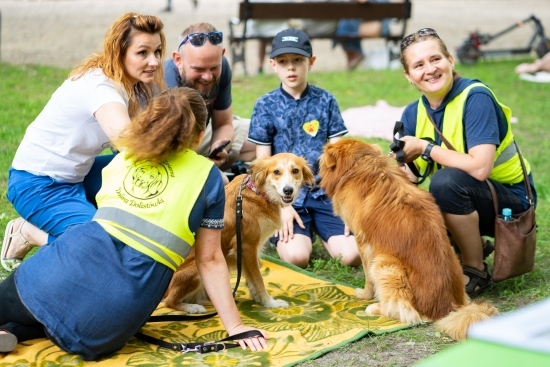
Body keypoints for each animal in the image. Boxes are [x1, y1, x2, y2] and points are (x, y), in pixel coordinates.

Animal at [163, 152, 314, 314]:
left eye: (295, 170)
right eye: (276, 172)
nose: (288, 190)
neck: (258, 192)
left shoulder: (247, 252)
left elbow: (251, 278)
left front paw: (257, 299)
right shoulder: (247, 247)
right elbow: (258, 279)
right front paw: (270, 303)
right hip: (197, 269)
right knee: (169, 301)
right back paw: (192, 307)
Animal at [316, 139, 498, 340]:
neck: (359, 164)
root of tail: (449, 307)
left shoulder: (363, 242)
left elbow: (368, 277)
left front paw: (365, 294)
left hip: (384, 263)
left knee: (404, 310)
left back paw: (376, 308)